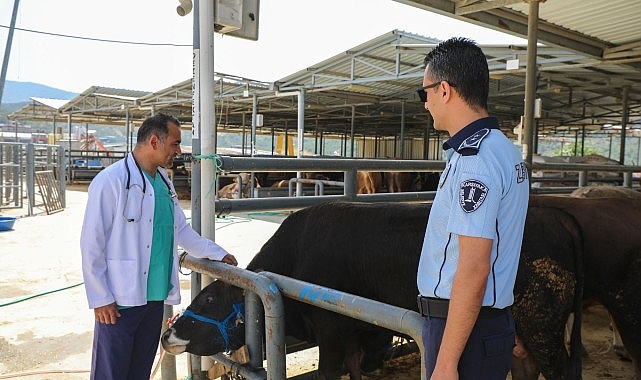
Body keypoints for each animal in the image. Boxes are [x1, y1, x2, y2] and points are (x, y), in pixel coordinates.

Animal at [160, 199, 640, 380]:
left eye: (209, 298)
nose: (168, 333)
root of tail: (554, 211)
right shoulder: (357, 330)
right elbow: (355, 369)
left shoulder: (332, 330)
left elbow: (333, 371)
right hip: (525, 330)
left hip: (542, 325)